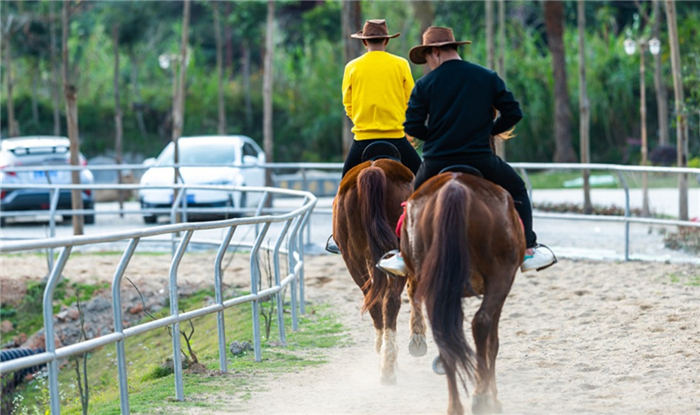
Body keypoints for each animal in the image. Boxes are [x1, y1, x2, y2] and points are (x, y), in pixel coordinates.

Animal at [332, 145, 426, 386]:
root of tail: (373, 171)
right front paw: (418, 339)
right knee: (391, 301)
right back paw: (389, 366)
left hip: (353, 258)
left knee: (374, 301)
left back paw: (385, 359)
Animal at [400, 170, 524, 415]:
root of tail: (455, 187)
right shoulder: (501, 286)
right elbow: (492, 343)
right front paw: (492, 396)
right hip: (500, 278)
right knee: (481, 324)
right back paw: (481, 397)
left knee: (444, 338)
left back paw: (455, 406)